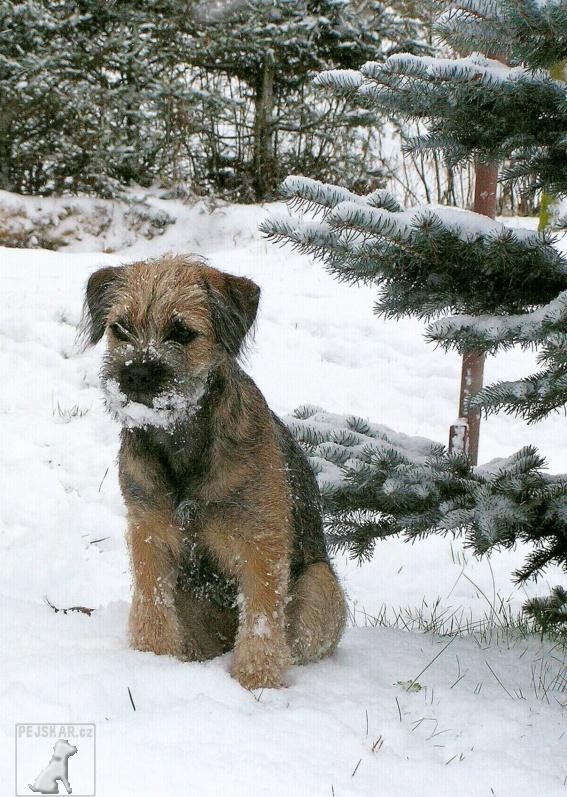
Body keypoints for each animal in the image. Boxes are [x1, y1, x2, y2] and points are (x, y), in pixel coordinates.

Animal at [84, 253, 346, 684]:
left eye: (181, 332)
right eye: (119, 328)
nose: (135, 373)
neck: (182, 442)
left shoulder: (261, 544)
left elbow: (261, 620)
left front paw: (257, 681)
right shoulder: (148, 533)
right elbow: (152, 605)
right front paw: (152, 659)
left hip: (321, 585)